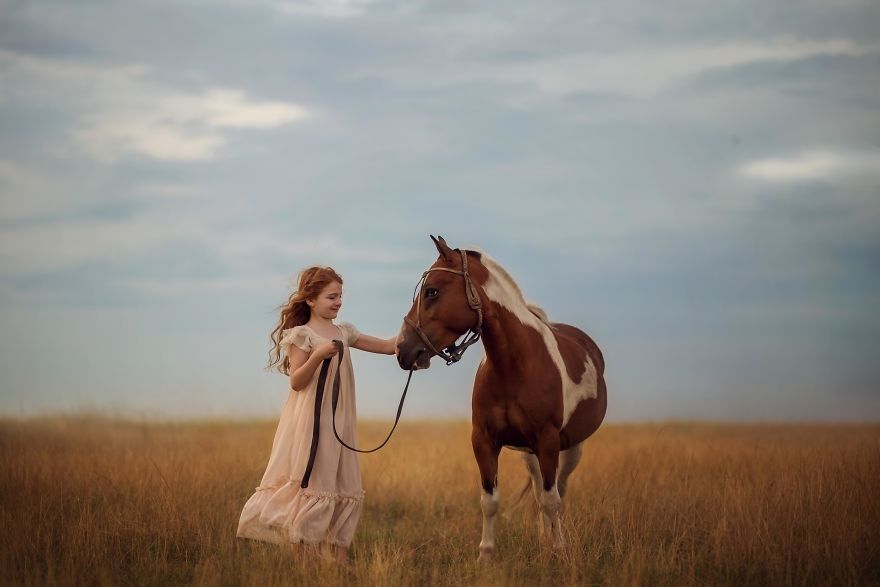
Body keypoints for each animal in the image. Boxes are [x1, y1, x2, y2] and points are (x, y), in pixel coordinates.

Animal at [398, 234, 608, 560]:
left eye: (432, 291)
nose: (402, 348)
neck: (514, 366)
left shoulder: (548, 441)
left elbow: (553, 500)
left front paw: (559, 552)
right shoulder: (484, 441)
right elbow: (490, 501)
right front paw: (486, 554)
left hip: (571, 447)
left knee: (557, 490)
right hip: (530, 454)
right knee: (538, 490)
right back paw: (543, 538)